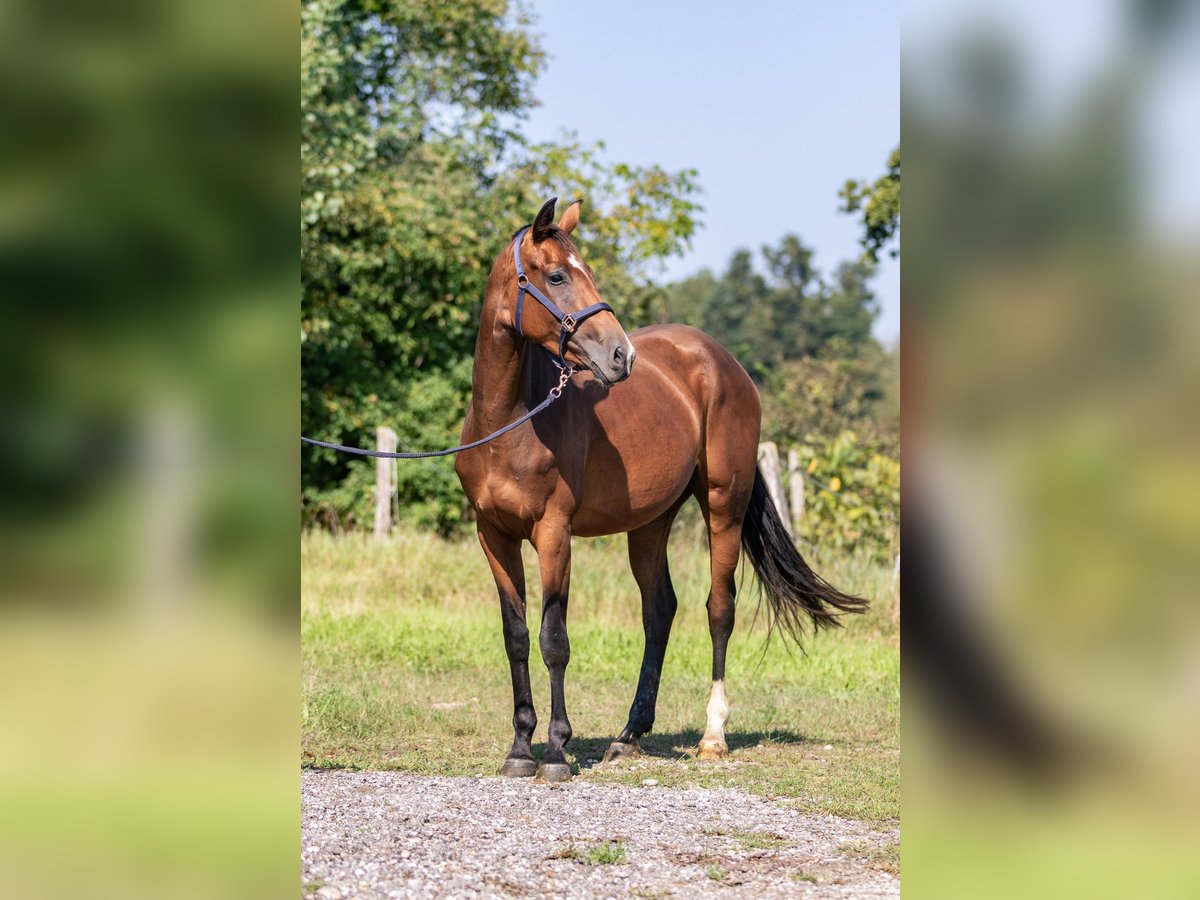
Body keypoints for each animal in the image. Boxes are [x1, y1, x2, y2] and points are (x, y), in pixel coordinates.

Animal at [453, 196, 868, 782]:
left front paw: (555, 753)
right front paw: (519, 750)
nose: (621, 356)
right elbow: (516, 638)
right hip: (650, 523)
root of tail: (724, 363)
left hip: (723, 506)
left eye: (587, 271)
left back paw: (712, 736)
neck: (511, 422)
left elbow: (554, 640)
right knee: (660, 610)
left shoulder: (554, 534)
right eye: (557, 276)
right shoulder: (494, 536)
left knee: (719, 609)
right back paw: (629, 735)